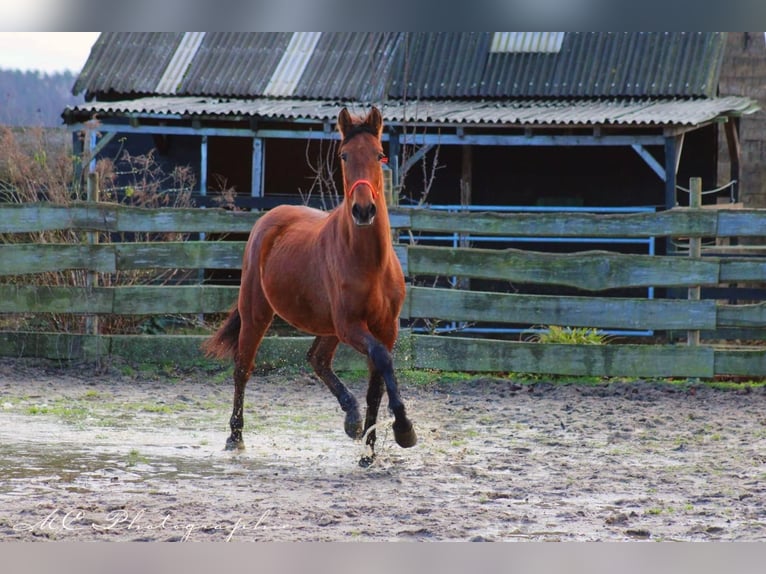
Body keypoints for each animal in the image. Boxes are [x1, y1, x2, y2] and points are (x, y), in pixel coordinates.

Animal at [204, 108, 416, 468]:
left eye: (379, 155)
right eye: (344, 156)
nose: (363, 210)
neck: (371, 262)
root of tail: (269, 218)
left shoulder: (385, 328)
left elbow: (377, 384)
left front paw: (370, 452)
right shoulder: (351, 326)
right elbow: (383, 360)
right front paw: (404, 430)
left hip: (328, 327)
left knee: (316, 359)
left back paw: (352, 420)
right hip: (258, 313)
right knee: (242, 369)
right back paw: (235, 438)